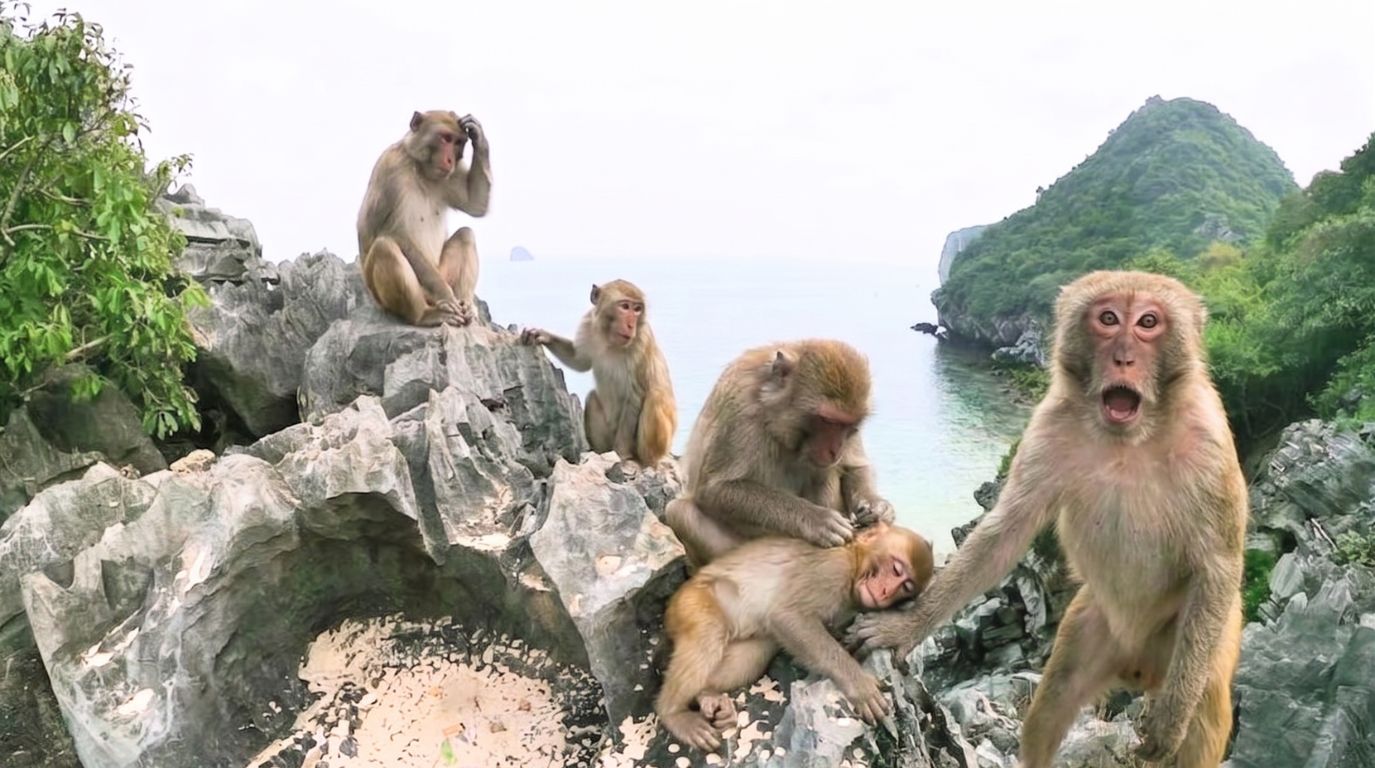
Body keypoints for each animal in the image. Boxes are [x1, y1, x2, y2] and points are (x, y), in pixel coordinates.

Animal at [357, 110, 492, 327]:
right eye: (446, 138)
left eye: (458, 142)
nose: (450, 160)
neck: (419, 167)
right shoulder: (390, 167)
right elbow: (391, 232)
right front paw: (446, 294)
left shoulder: (450, 174)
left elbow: (475, 204)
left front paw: (478, 135)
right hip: (389, 296)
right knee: (385, 246)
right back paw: (424, 315)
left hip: (441, 270)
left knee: (466, 235)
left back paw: (466, 305)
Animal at [519, 279, 677, 467]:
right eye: (625, 306)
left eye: (637, 309)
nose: (631, 325)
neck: (610, 339)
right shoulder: (588, 324)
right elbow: (579, 360)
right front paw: (543, 335)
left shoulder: (642, 341)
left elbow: (635, 396)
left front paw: (621, 454)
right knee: (592, 398)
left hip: (661, 442)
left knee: (655, 395)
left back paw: (643, 460)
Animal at [656, 521, 935, 752]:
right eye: (896, 569)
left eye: (905, 588)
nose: (886, 591)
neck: (854, 560)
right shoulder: (832, 569)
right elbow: (789, 616)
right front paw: (859, 685)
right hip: (691, 603)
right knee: (708, 634)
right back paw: (673, 713)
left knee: (757, 651)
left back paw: (708, 695)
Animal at [664, 339, 895, 567]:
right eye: (828, 421)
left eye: (849, 425)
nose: (835, 450)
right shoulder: (740, 410)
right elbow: (716, 489)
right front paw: (817, 519)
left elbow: (855, 466)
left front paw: (878, 506)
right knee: (679, 512)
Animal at [846, 270, 1247, 768]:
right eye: (1108, 319)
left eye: (1148, 323)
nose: (1124, 357)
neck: (1130, 438)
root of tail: (1140, 666)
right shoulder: (1049, 426)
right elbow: (1006, 531)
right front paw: (907, 626)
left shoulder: (1210, 440)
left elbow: (1218, 562)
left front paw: (1171, 719)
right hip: (1092, 623)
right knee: (1052, 704)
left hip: (1207, 633)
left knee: (1206, 707)